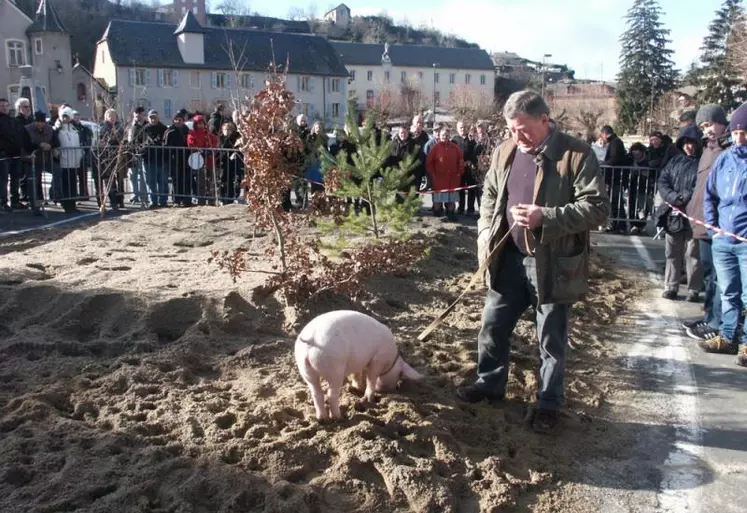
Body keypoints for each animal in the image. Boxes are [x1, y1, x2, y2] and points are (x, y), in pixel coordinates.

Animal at [296, 310, 424, 418]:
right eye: (399, 375)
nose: (391, 390)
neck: (391, 361)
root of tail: (311, 340)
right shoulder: (377, 360)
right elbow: (371, 378)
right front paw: (369, 399)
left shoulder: (357, 362)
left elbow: (356, 374)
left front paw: (358, 388)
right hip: (334, 369)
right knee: (331, 395)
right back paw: (339, 417)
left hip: (305, 369)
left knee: (316, 393)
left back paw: (322, 419)